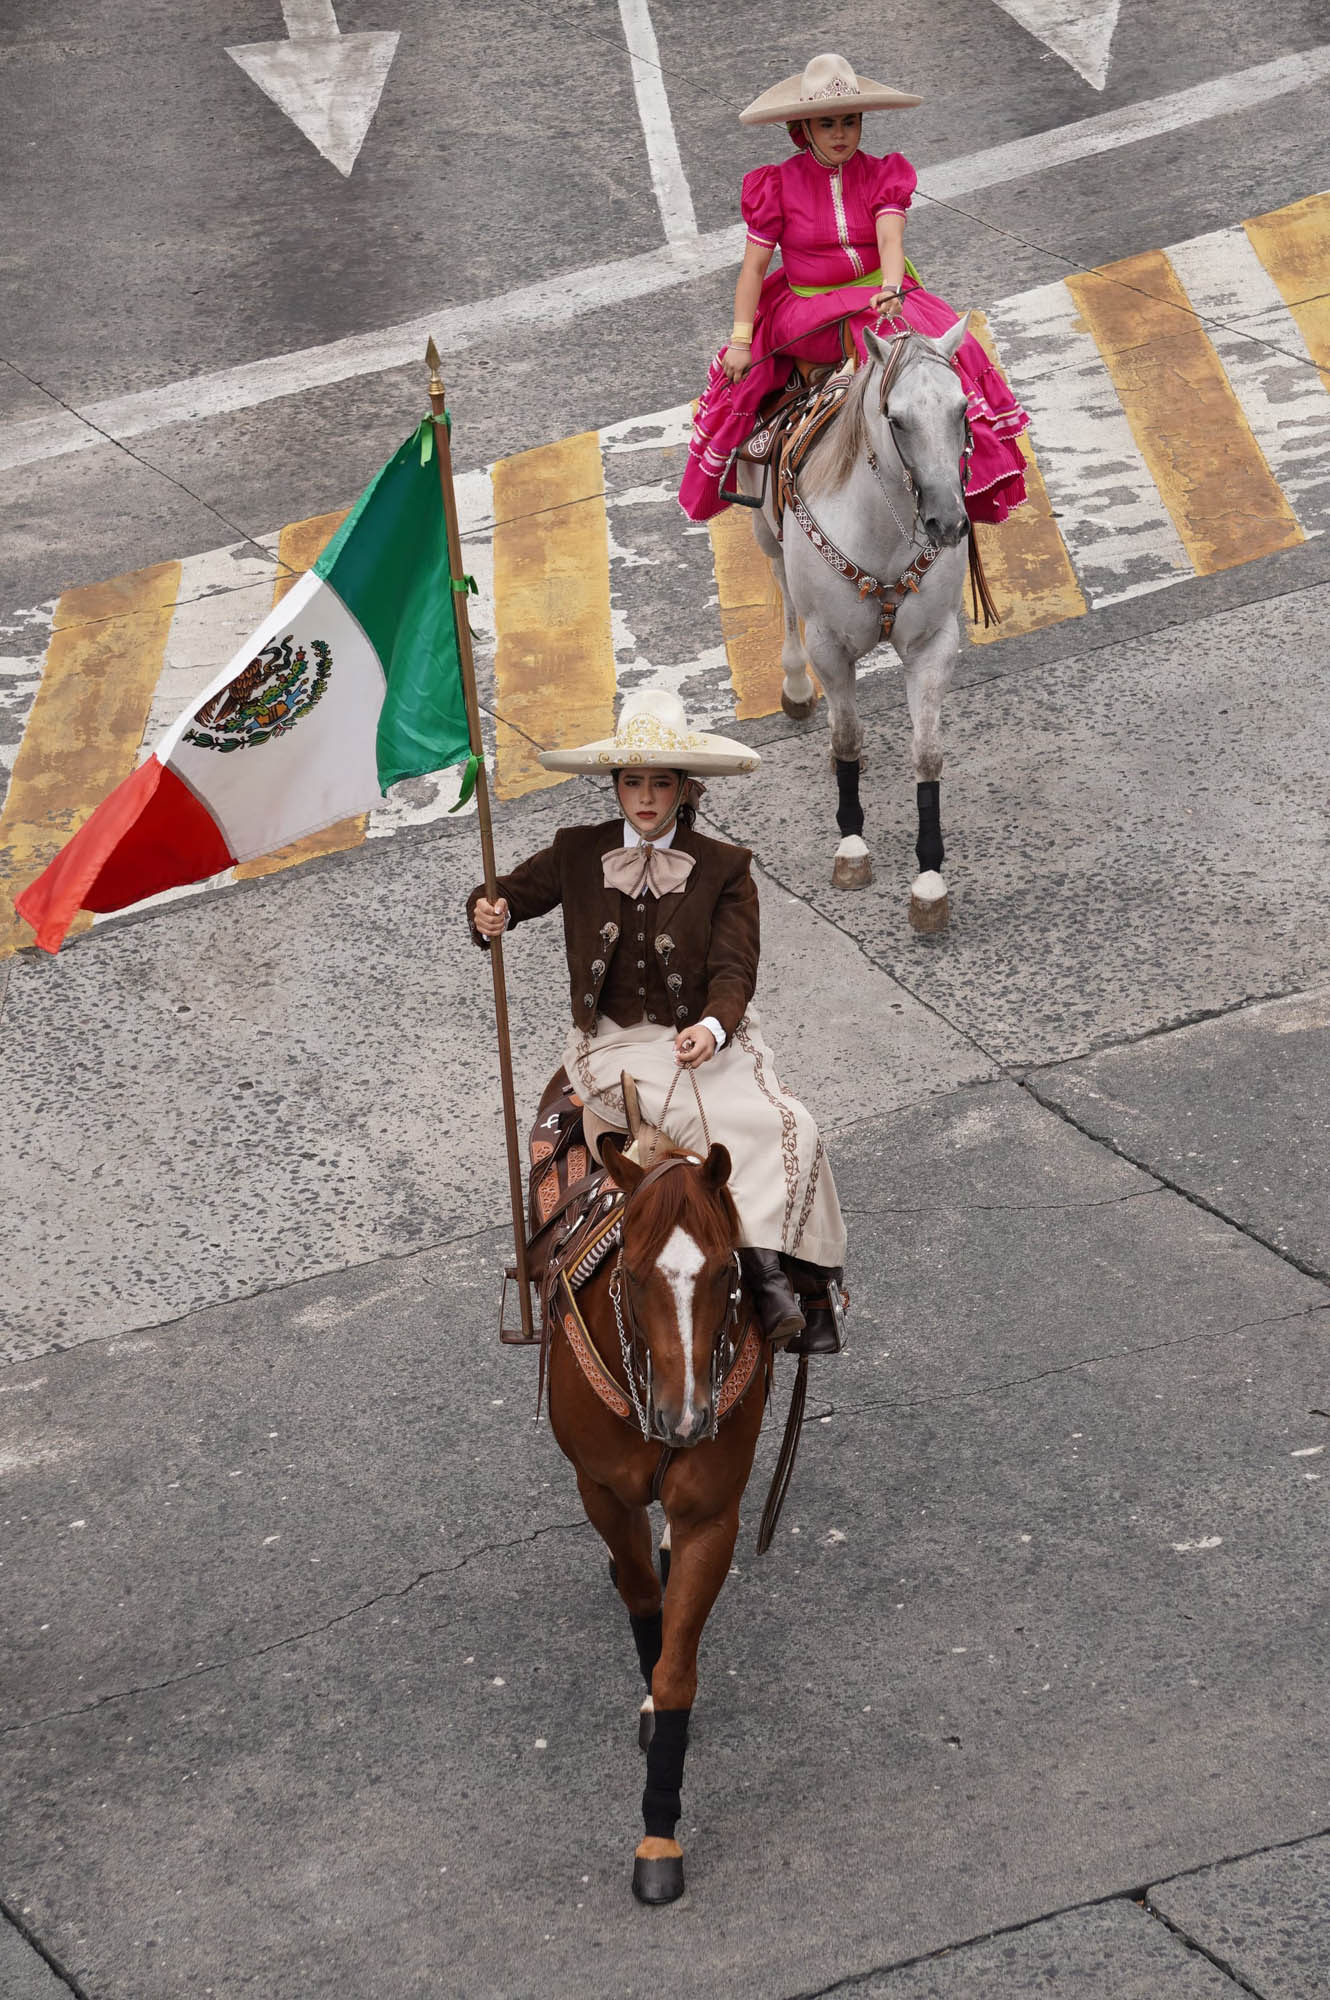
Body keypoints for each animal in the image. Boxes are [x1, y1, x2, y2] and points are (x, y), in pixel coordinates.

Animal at [544, 1080, 768, 1904]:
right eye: (633, 1274)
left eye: (726, 1272)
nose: (687, 1418)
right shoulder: (602, 1489)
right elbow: (643, 1599)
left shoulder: (712, 1513)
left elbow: (676, 1669)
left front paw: (659, 1836)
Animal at [740, 322, 972, 928]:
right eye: (897, 418)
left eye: (962, 407)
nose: (948, 523)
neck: (885, 530)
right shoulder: (829, 644)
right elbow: (846, 735)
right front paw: (852, 847)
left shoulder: (933, 645)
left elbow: (927, 752)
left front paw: (929, 879)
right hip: (765, 535)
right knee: (784, 594)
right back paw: (797, 687)